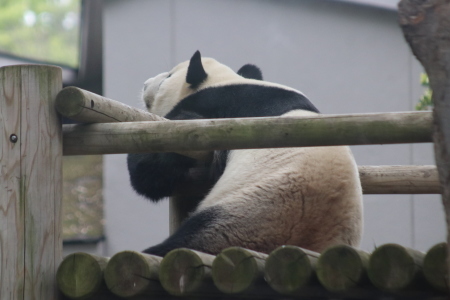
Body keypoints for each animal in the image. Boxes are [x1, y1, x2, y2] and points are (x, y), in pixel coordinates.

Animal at [125, 51, 362, 255]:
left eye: (168, 77)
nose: (145, 84)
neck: (223, 80)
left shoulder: (223, 108)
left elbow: (150, 174)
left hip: (246, 216)